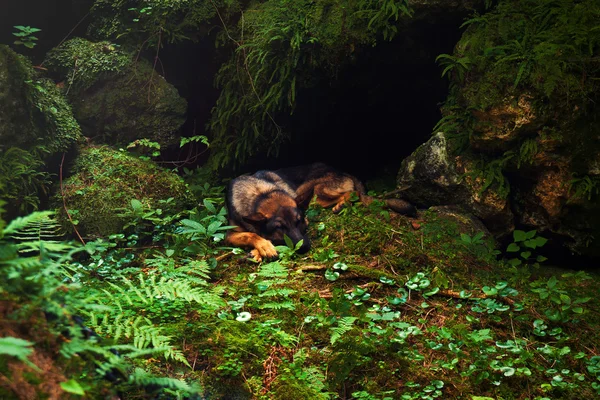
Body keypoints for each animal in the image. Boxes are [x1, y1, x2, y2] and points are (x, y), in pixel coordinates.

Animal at [225, 162, 418, 262]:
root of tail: (344, 172)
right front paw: (262, 247)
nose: (304, 247)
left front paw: (262, 250)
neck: (261, 194)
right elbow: (251, 234)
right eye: (280, 228)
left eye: (299, 221)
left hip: (316, 192)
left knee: (354, 194)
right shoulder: (228, 234)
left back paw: (341, 205)